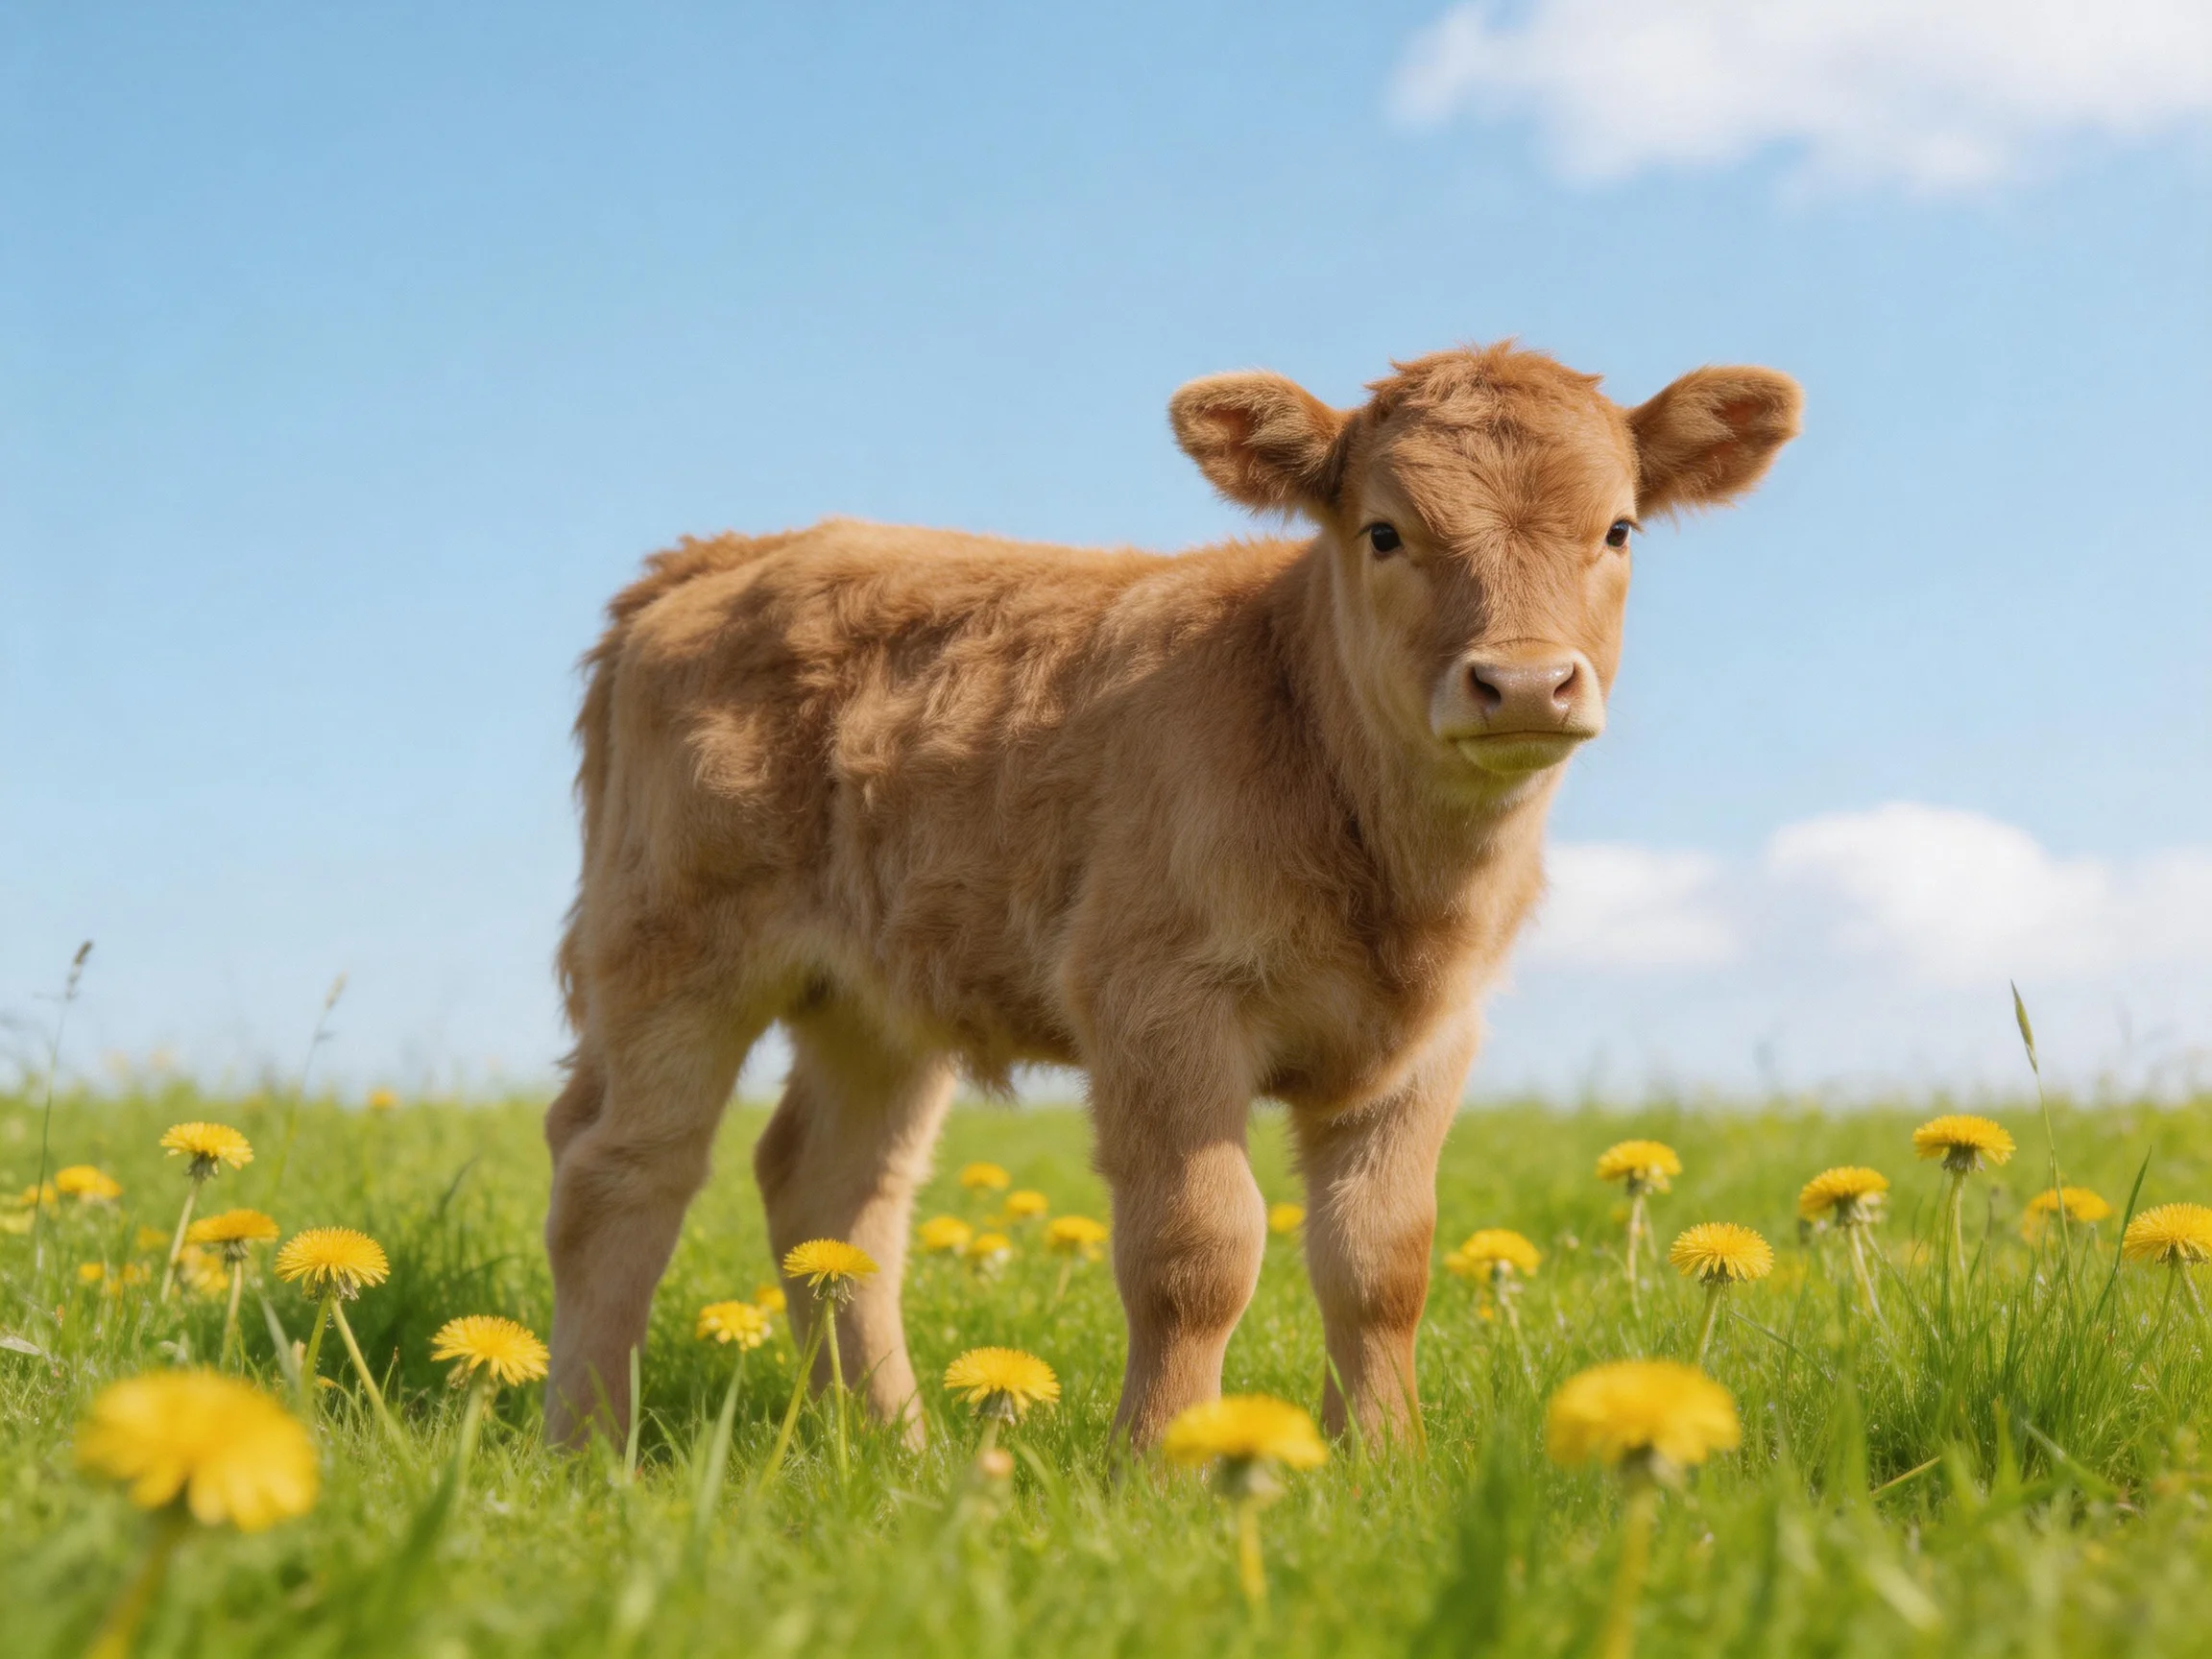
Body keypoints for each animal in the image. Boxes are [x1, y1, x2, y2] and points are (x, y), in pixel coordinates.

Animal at [542, 341, 1801, 1451]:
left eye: (1618, 529)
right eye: (1385, 530)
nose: (1526, 682)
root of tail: (728, 552)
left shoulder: (1433, 1037)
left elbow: (1382, 1259)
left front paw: (1384, 1459)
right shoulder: (1158, 1001)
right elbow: (1197, 1253)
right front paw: (1158, 1461)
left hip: (874, 996)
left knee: (833, 1196)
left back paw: (894, 1448)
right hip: (669, 948)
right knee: (620, 1173)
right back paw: (589, 1442)